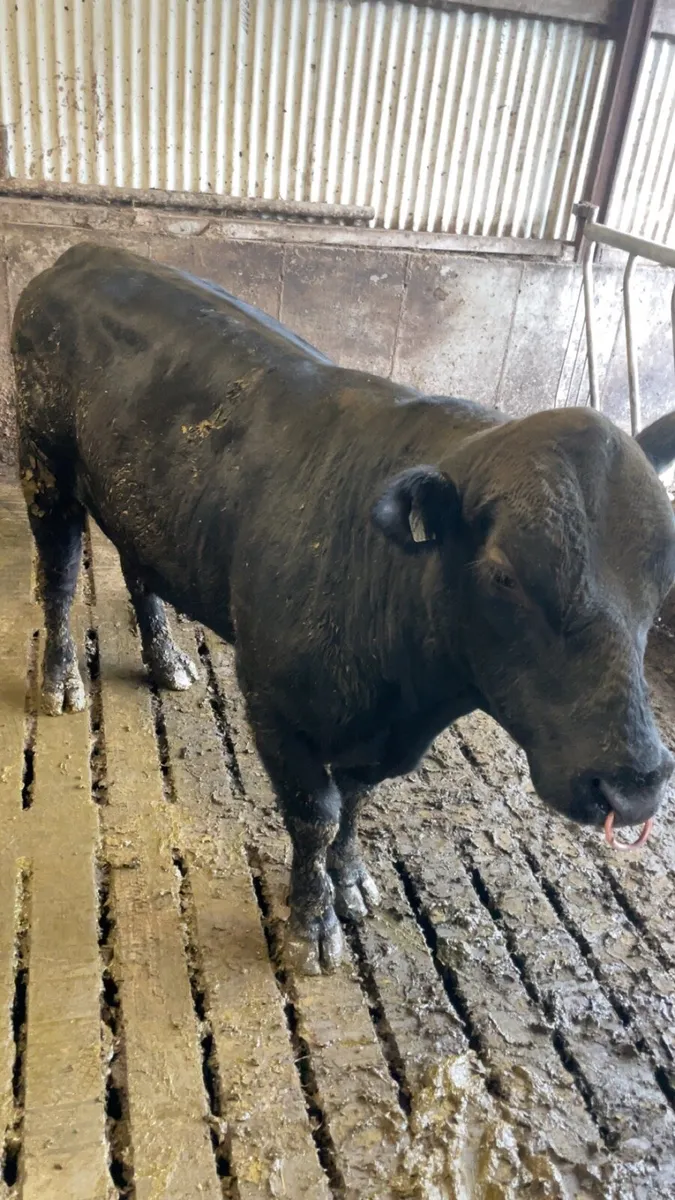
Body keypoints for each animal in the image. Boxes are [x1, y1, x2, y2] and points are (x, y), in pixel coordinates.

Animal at [11, 243, 675, 974]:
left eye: (663, 575)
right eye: (503, 574)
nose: (634, 785)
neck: (406, 702)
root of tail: (88, 253)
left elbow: (356, 800)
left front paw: (351, 879)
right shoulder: (273, 703)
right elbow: (316, 814)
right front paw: (312, 925)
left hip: (144, 502)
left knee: (140, 571)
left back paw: (166, 662)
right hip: (42, 464)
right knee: (59, 577)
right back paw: (60, 681)